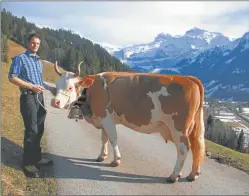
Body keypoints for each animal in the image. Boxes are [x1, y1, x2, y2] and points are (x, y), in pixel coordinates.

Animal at [49, 60, 206, 182]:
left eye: (70, 87)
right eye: (57, 85)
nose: (54, 102)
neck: (93, 90)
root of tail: (188, 78)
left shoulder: (106, 118)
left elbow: (113, 138)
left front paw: (116, 160)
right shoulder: (102, 118)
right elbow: (104, 138)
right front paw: (101, 156)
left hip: (178, 128)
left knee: (184, 148)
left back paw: (174, 176)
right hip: (192, 127)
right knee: (197, 146)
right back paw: (193, 174)